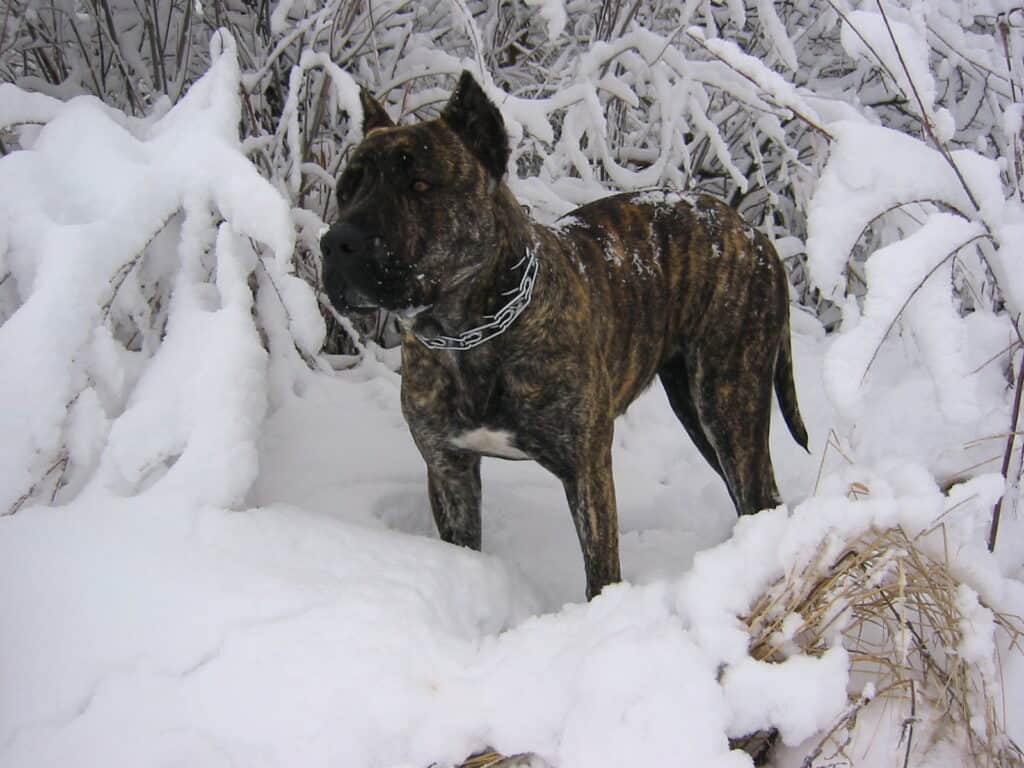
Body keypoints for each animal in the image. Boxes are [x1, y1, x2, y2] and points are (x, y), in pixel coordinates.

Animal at [321, 72, 806, 602]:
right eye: (346, 189)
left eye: (420, 185)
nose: (336, 241)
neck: (469, 334)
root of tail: (751, 231)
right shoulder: (449, 469)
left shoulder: (586, 469)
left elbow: (601, 569)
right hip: (696, 409)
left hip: (728, 403)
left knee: (759, 491)